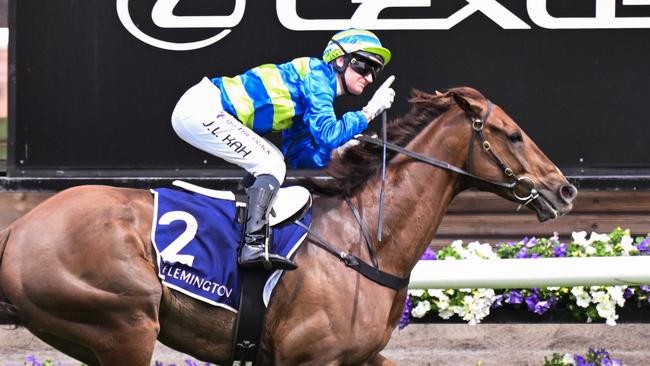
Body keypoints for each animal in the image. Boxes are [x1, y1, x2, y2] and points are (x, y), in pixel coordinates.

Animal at [0, 87, 576, 364]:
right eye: (512, 134)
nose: (565, 189)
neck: (366, 241)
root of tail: (17, 231)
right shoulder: (308, 358)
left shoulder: (359, 358)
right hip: (124, 325)